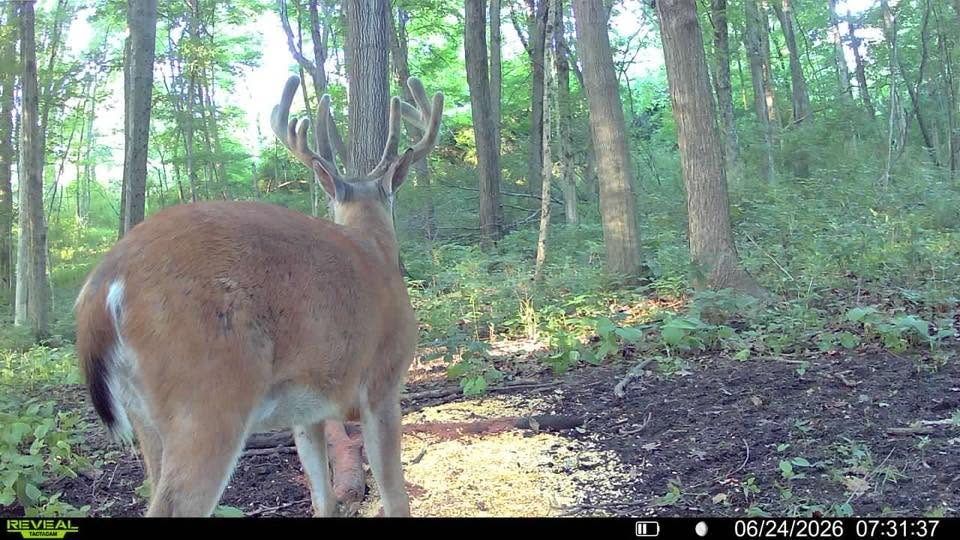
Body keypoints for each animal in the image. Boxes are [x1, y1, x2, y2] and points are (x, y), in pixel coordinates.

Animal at [74, 74, 444, 517]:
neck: (375, 245)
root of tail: (105, 282)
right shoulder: (383, 382)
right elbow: (396, 496)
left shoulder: (308, 409)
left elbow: (324, 498)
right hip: (207, 398)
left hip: (145, 415)